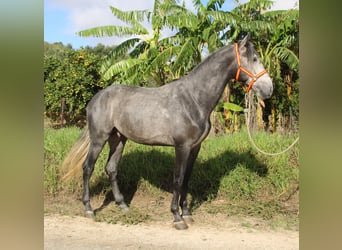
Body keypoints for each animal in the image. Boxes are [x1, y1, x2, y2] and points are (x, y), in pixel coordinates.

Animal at [62, 34, 272, 229]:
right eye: (254, 58)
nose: (269, 89)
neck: (193, 99)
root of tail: (96, 98)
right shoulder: (182, 146)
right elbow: (178, 180)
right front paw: (177, 217)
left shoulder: (194, 148)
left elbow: (187, 179)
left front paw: (187, 213)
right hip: (99, 139)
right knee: (87, 168)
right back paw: (89, 209)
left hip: (118, 139)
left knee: (111, 169)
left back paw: (123, 206)